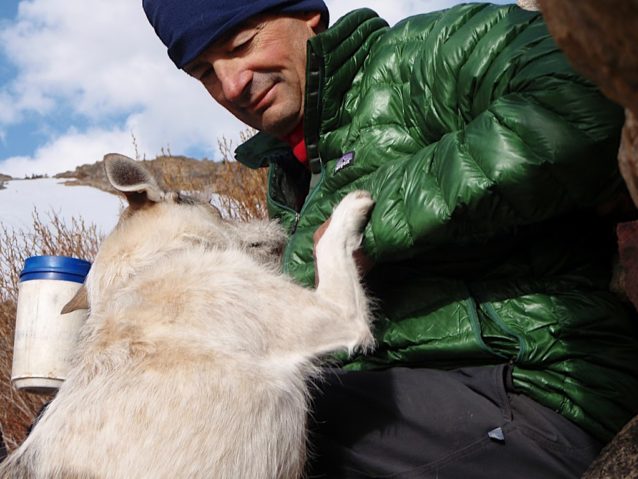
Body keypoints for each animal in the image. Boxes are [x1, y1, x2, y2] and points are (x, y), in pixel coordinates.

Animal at [0, 155, 376, 479]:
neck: (143, 269)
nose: (276, 226)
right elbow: (328, 244)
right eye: (217, 207)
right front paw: (350, 206)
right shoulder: (336, 314)